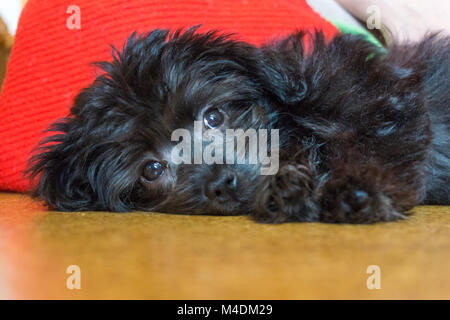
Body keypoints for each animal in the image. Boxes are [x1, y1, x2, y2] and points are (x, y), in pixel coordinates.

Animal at [27, 27, 450, 224]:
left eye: (214, 116)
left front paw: (356, 192)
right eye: (152, 169)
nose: (221, 183)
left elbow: (371, 145)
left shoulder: (380, 103)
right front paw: (291, 189)